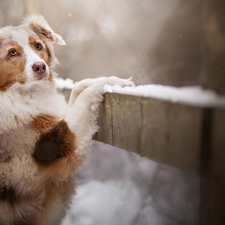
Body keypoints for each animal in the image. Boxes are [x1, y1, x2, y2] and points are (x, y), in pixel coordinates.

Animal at [0, 14, 134, 224]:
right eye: (12, 52)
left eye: (38, 46)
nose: (40, 66)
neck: (21, 94)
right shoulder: (57, 148)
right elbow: (84, 99)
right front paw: (112, 81)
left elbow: (80, 87)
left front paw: (110, 79)